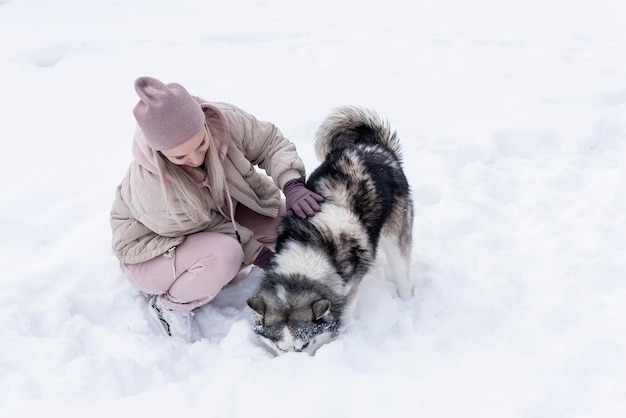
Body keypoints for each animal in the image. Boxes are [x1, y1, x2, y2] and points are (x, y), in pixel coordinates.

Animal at [246, 106, 412, 354]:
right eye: (281, 348)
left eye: (305, 345)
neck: (309, 252)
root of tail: (373, 147)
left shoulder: (347, 290)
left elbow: (344, 312)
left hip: (395, 238)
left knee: (402, 270)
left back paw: (407, 301)